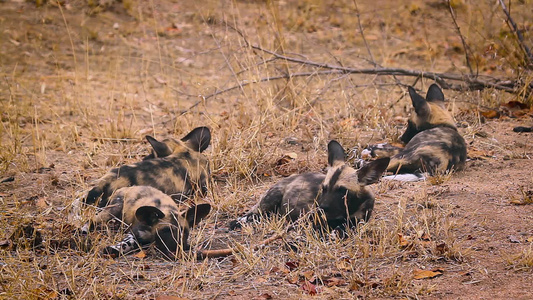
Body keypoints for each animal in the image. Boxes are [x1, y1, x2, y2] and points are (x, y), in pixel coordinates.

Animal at [228, 139, 386, 233]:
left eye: (342, 191)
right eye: (324, 188)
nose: (322, 206)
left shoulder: (357, 221)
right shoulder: (311, 219)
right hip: (270, 199)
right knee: (252, 215)